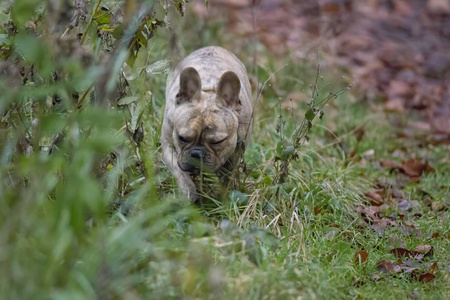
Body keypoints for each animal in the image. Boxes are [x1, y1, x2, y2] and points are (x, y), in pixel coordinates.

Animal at [161, 47, 253, 202]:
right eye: (182, 138)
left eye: (217, 142)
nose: (196, 153)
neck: (208, 91)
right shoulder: (168, 146)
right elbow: (179, 170)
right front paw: (188, 191)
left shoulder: (235, 152)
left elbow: (227, 176)